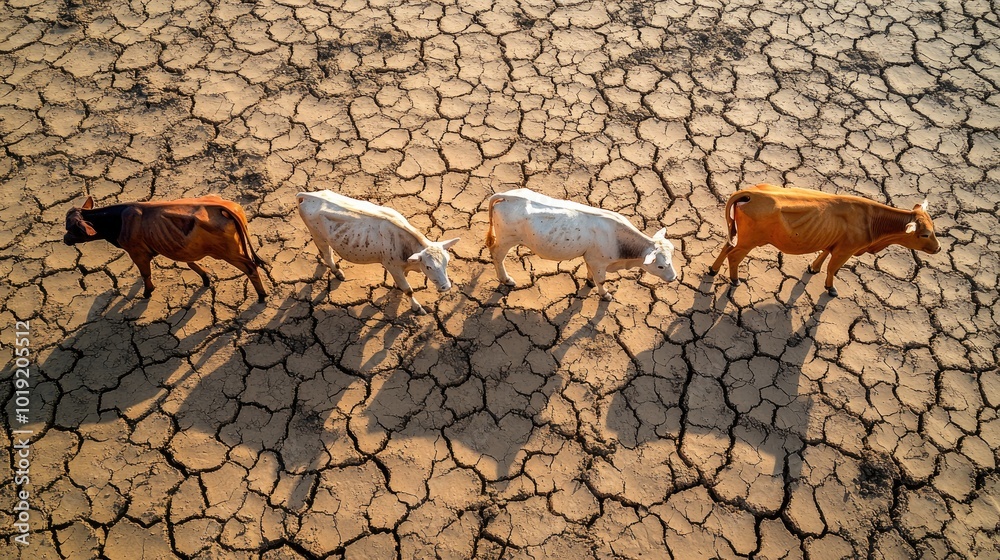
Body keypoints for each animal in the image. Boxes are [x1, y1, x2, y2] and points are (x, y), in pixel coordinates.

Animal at [63, 195, 268, 302]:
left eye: (71, 228)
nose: (65, 239)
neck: (119, 219)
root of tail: (220, 206)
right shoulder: (180, 247)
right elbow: (190, 262)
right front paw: (205, 278)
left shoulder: (137, 253)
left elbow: (145, 274)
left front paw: (147, 292)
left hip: (230, 253)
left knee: (251, 268)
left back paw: (262, 296)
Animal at [296, 190, 460, 315]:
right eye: (428, 267)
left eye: (447, 262)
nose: (446, 287)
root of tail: (307, 195)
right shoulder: (392, 266)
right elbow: (408, 290)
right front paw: (417, 308)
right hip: (318, 236)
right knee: (327, 255)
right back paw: (337, 272)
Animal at [485, 188, 678, 300]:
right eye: (660, 266)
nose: (674, 278)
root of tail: (508, 196)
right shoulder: (599, 262)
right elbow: (601, 280)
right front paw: (605, 295)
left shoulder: (590, 257)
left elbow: (590, 273)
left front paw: (590, 282)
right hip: (506, 239)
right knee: (497, 256)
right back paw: (506, 279)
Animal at [709, 184, 941, 297]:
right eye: (925, 234)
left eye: (934, 229)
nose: (939, 248)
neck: (871, 219)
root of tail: (750, 193)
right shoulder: (846, 250)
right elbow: (833, 268)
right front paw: (830, 288)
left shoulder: (833, 242)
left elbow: (823, 255)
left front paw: (813, 268)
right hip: (749, 241)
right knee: (734, 256)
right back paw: (734, 279)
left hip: (738, 234)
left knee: (726, 246)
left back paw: (712, 270)